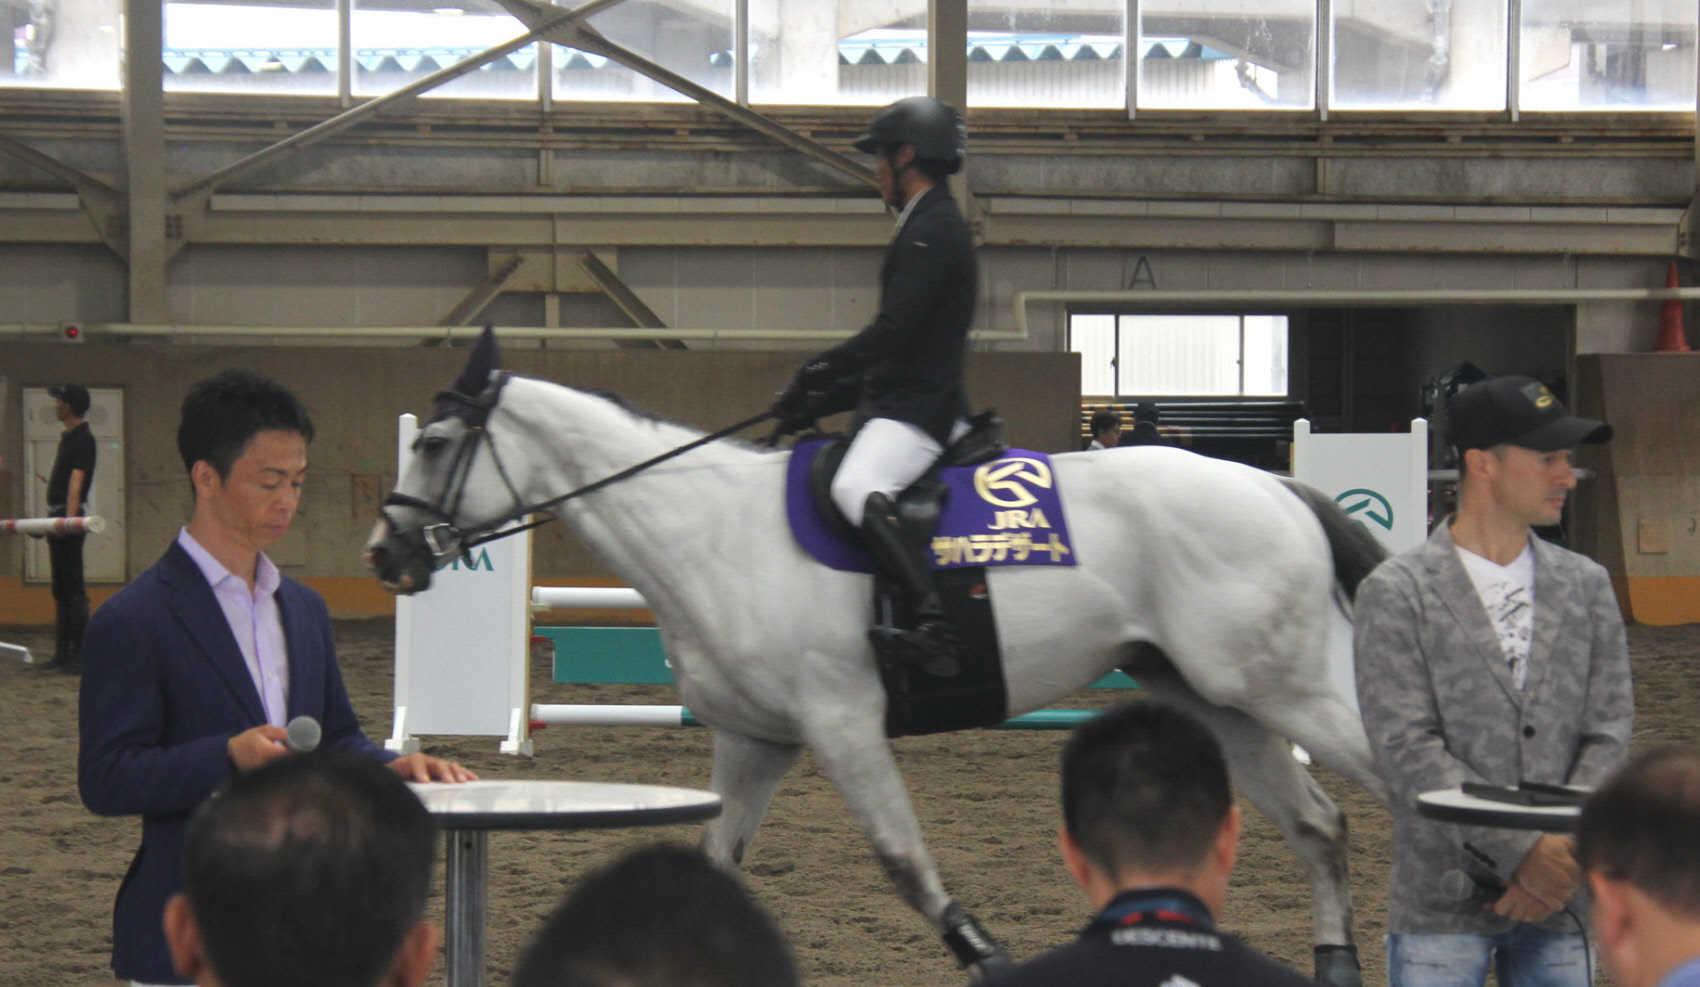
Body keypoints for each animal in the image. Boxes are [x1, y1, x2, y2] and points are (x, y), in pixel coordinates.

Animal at [365, 329, 1387, 978]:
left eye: (440, 443)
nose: (386, 554)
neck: (707, 531)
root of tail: (1280, 489)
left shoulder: (842, 720)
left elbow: (902, 860)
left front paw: (988, 955)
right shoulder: (755, 738)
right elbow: (713, 864)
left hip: (1294, 690)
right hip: (1222, 696)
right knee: (1320, 824)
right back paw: (1337, 961)